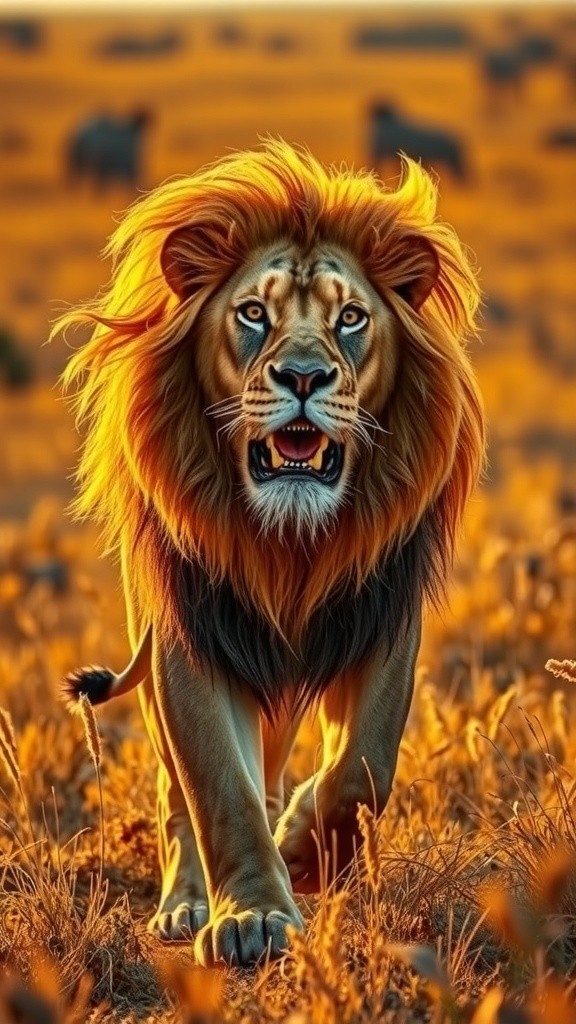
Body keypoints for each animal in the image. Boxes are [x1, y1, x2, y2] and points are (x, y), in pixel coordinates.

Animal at [56, 140, 485, 967]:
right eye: (254, 313)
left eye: (351, 318)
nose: (304, 378)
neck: (288, 545)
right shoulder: (193, 638)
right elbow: (220, 788)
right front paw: (252, 913)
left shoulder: (381, 621)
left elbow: (362, 770)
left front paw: (304, 855)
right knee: (178, 796)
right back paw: (189, 902)